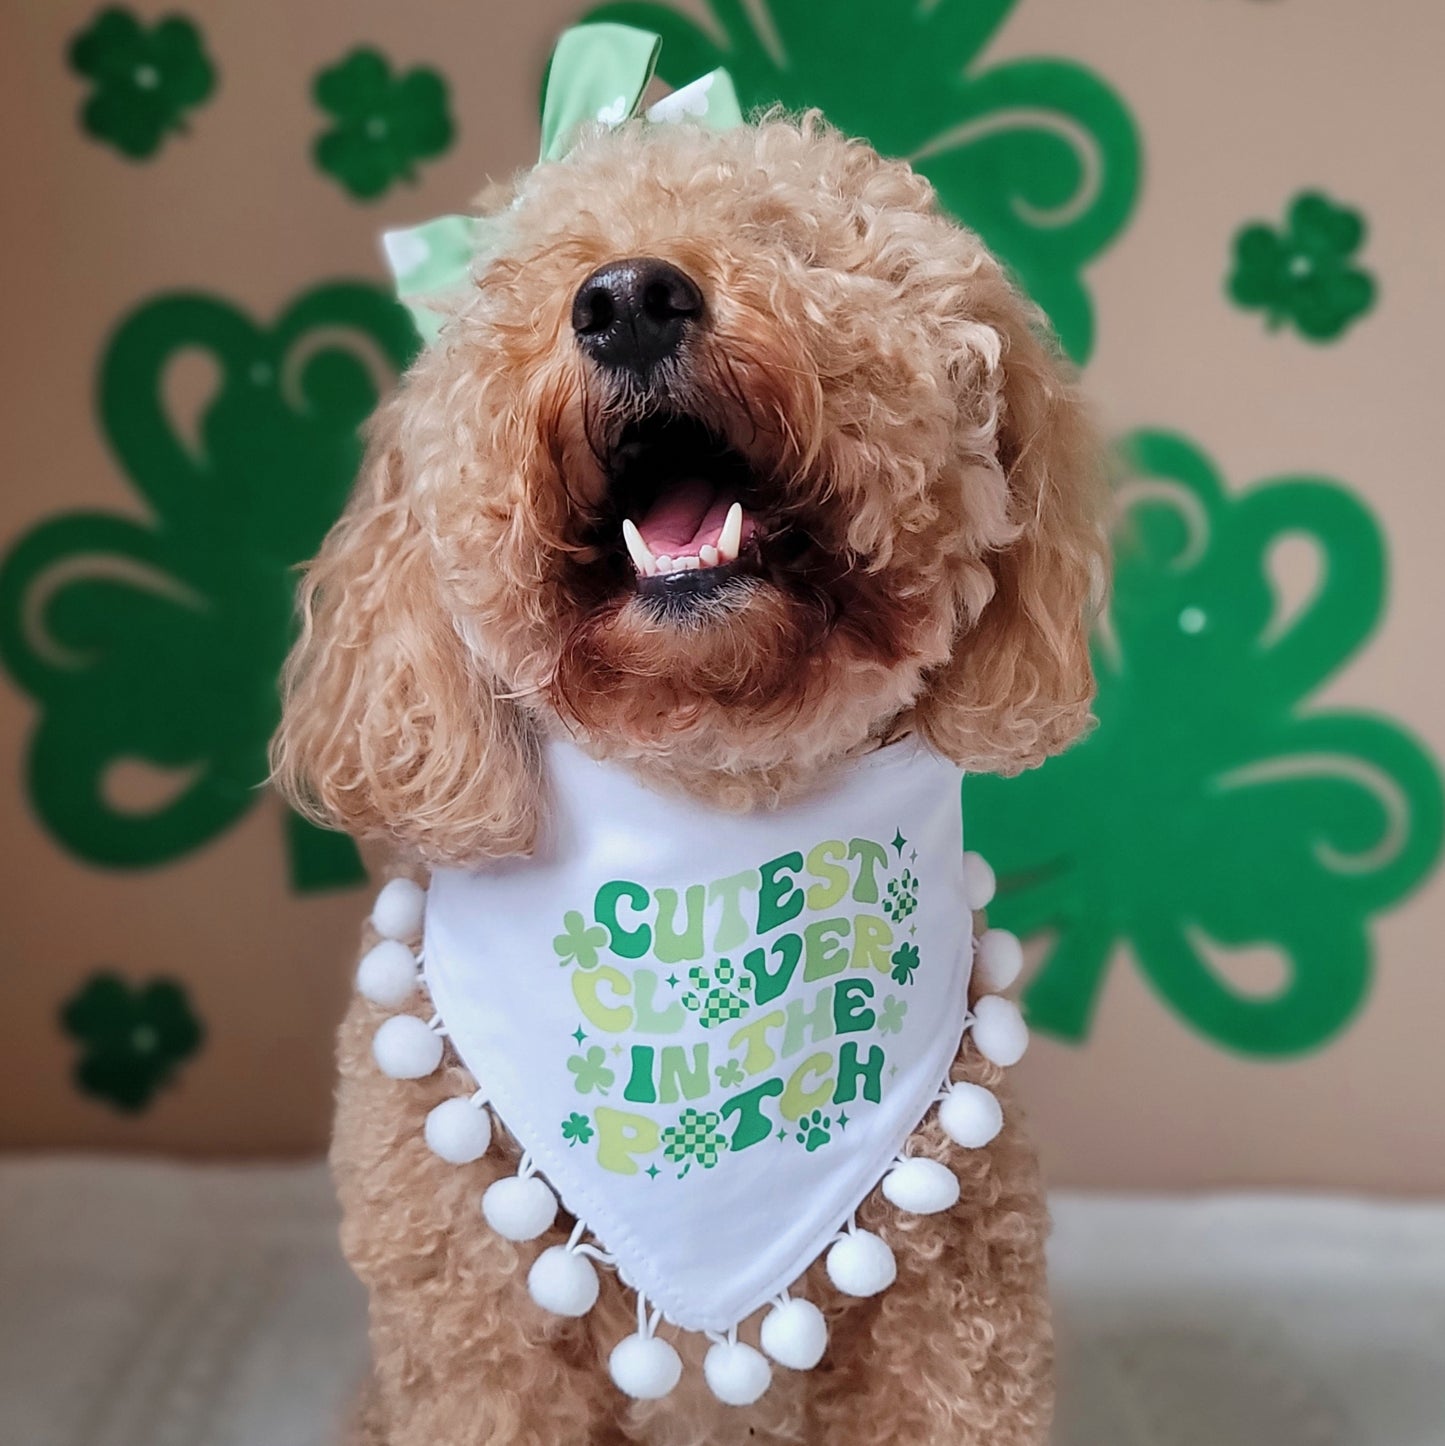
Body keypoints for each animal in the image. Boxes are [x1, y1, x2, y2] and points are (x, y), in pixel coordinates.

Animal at [273, 93, 1105, 1446]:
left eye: (789, 239)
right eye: (532, 272)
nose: (626, 298)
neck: (716, 812)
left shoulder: (950, 1324)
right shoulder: (474, 1340)